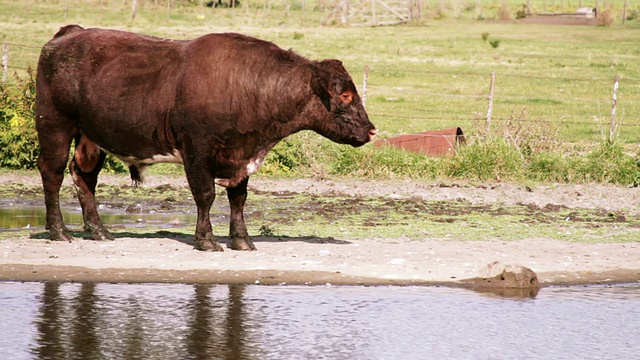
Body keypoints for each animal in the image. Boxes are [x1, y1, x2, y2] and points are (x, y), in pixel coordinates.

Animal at [35, 25, 376, 252]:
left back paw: (99, 231)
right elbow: (205, 195)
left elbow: (238, 198)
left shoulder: (241, 155)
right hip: (55, 126)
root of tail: (71, 33)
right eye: (346, 94)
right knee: (52, 173)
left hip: (91, 138)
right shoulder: (197, 151)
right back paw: (59, 231)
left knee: (84, 178)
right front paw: (207, 240)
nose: (372, 129)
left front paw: (242, 240)